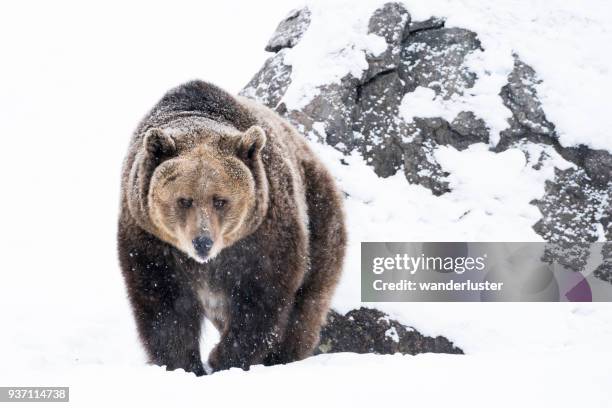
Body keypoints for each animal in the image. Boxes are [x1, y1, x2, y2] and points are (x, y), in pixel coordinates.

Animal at [117, 79, 346, 376]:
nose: (202, 242)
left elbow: (260, 299)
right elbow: (164, 304)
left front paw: (222, 358)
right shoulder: (151, 241)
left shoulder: (262, 235)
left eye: (220, 200)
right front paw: (183, 364)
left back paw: (284, 355)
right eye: (184, 200)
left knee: (306, 306)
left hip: (319, 219)